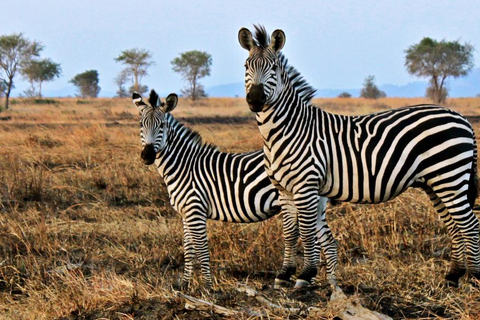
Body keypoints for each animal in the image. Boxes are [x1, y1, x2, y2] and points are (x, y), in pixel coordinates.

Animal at [131, 90, 338, 290]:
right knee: (328, 242)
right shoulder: (185, 213)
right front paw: (183, 284)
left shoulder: (195, 210)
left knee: (321, 242)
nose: (147, 156)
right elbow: (188, 250)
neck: (184, 166)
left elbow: (201, 248)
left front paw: (207, 287)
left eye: (162, 126)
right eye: (141, 125)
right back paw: (325, 285)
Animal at [237, 25, 480, 288]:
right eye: (246, 66)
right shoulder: (284, 189)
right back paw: (453, 275)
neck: (286, 131)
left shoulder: (306, 185)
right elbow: (290, 233)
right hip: (436, 183)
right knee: (454, 225)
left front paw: (305, 275)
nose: (255, 100)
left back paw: (475, 276)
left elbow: (307, 231)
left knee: (470, 224)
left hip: (450, 177)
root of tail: (462, 118)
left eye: (273, 67)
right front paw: (284, 275)